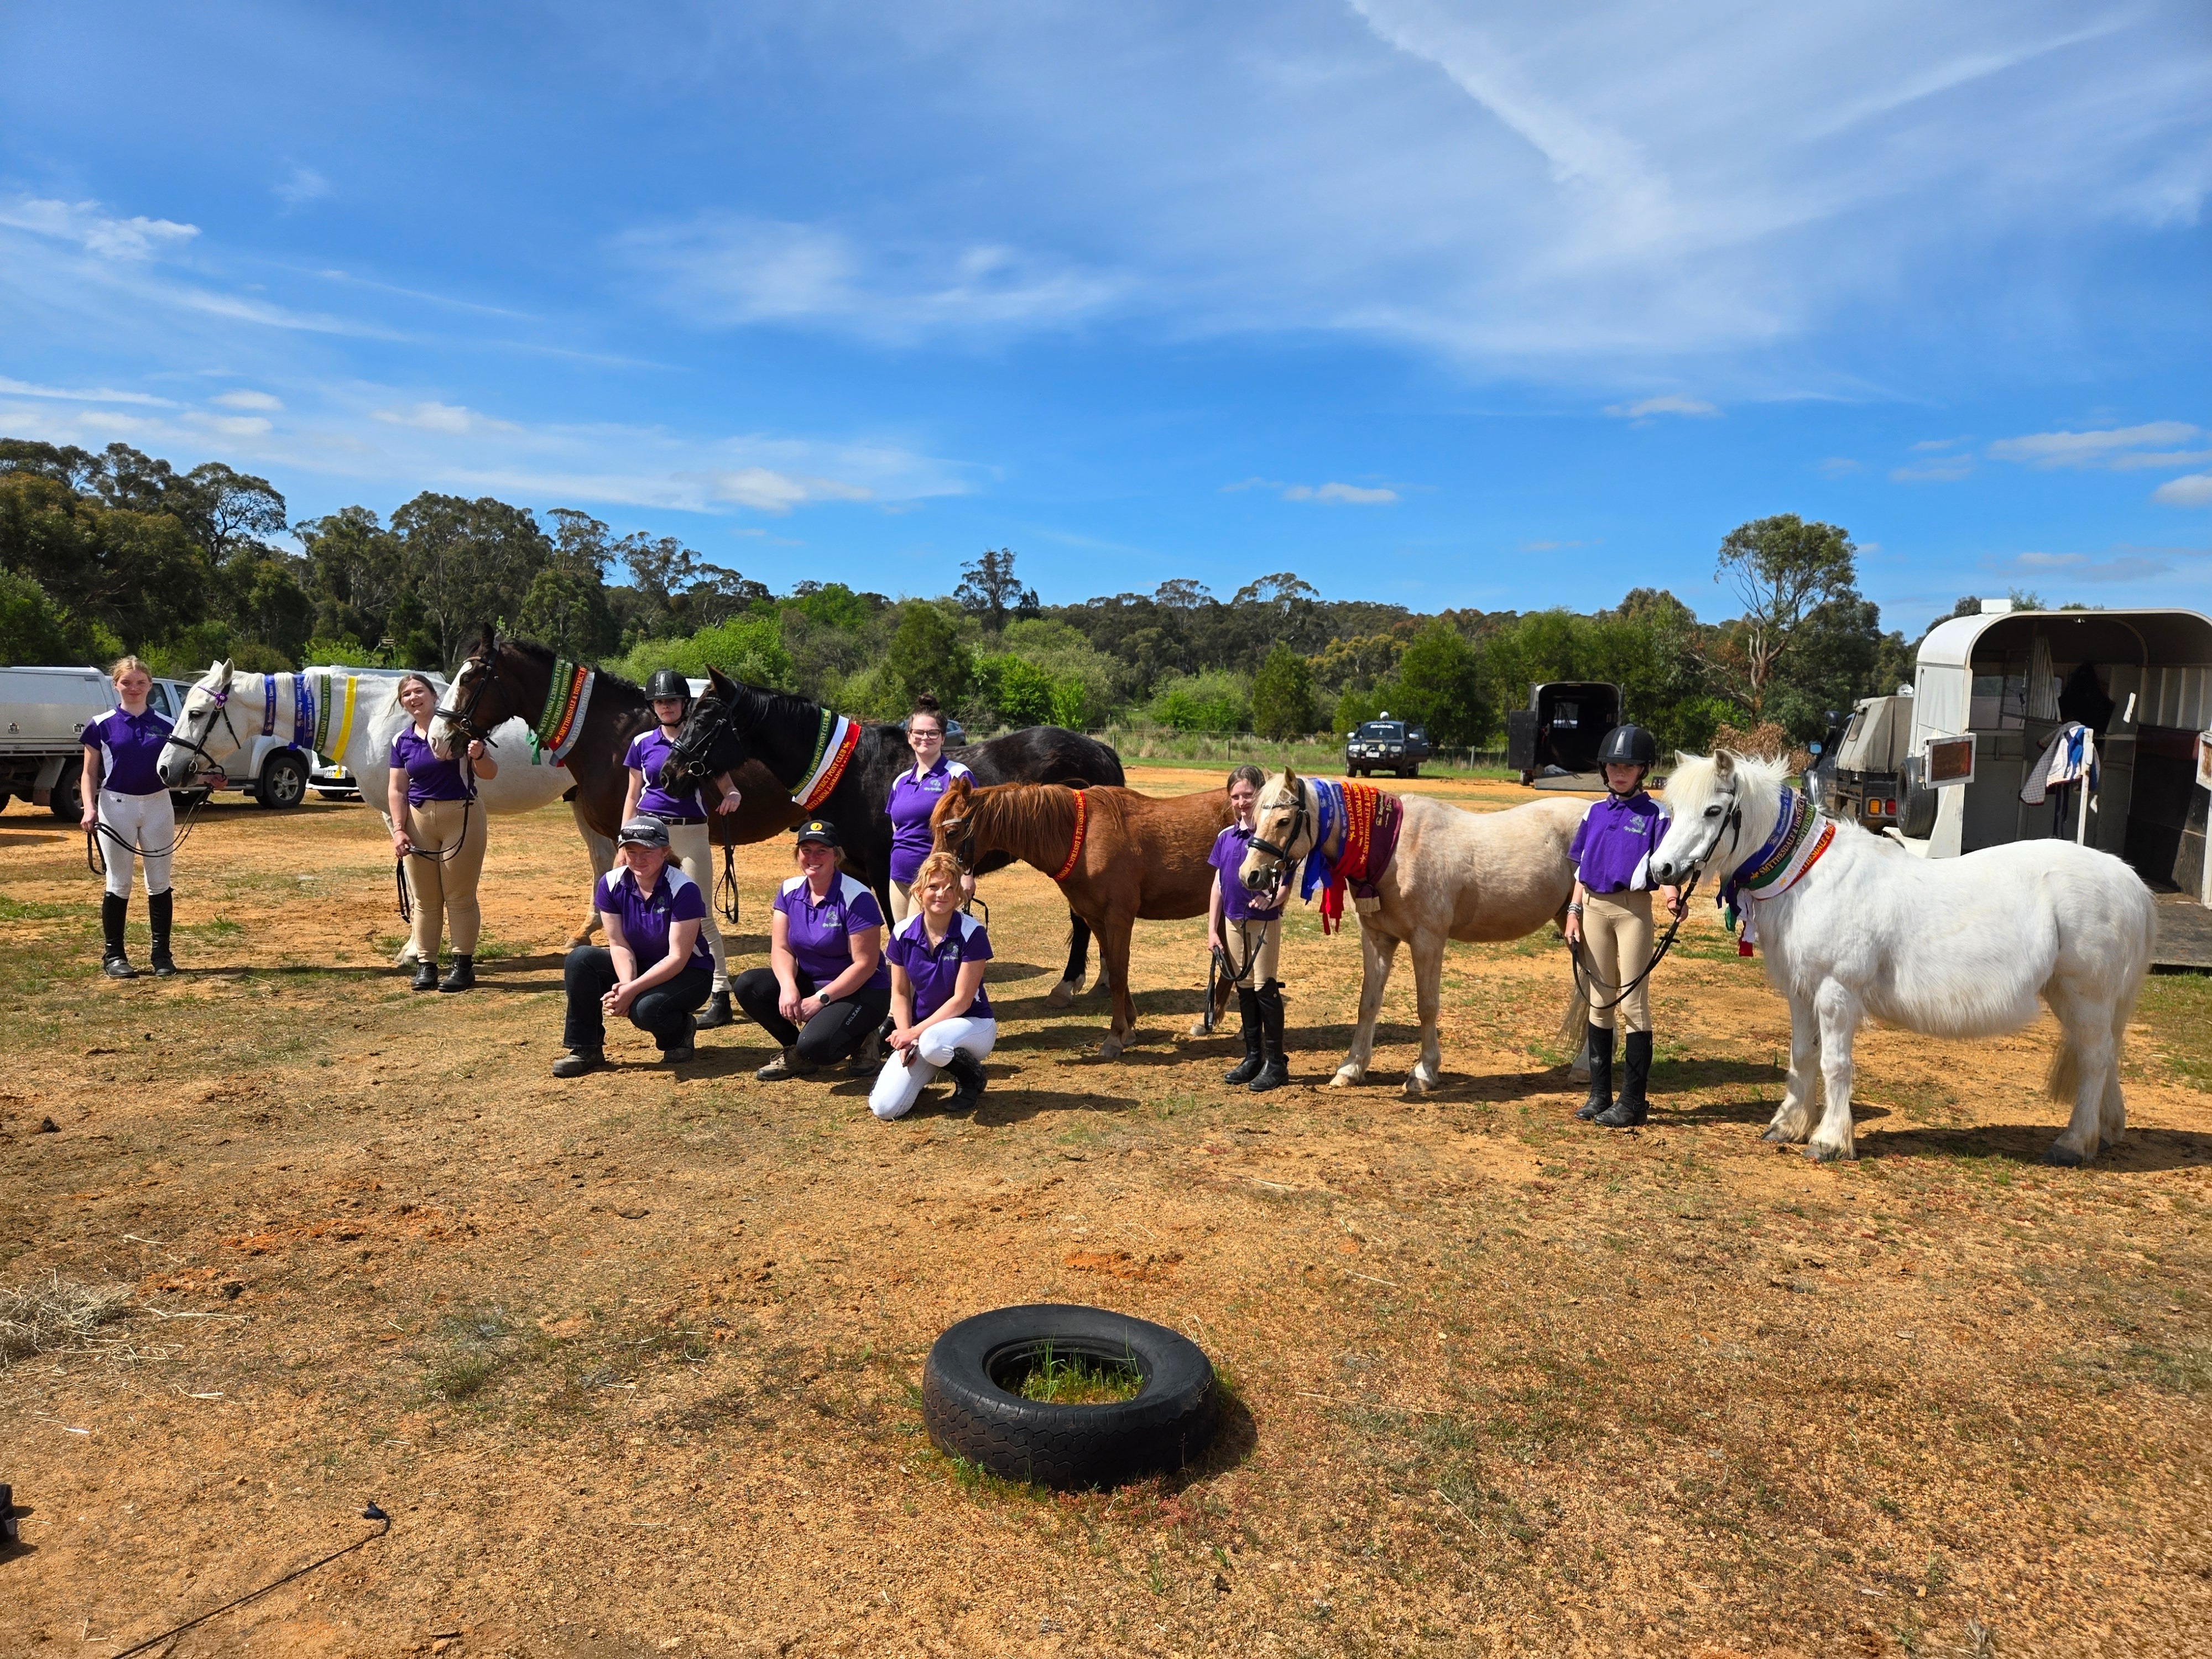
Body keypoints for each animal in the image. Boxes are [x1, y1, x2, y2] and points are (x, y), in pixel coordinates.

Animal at [155, 660, 616, 951]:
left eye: (196, 713)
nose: (165, 769)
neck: (370, 718)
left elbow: (415, 878)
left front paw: (415, 949)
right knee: (602, 860)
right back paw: (585, 931)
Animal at [660, 665, 1128, 1006]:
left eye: (707, 719)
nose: (668, 775)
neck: (853, 774)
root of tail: (1100, 751)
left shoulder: (884, 868)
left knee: (1082, 919)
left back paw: (1068, 985)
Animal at [929, 776, 1235, 1057]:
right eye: (933, 828)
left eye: (953, 831)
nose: (934, 874)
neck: (1086, 838)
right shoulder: (1096, 919)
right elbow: (1114, 969)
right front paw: (1128, 1028)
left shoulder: (1119, 917)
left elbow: (1119, 974)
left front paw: (1115, 1037)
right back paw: (1209, 1022)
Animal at [1237, 768, 1590, 1095]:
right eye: (1255, 817)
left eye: (1283, 820)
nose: (1248, 875)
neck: (1395, 850)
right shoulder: (1377, 939)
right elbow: (1368, 1003)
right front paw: (1351, 1069)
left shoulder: (1428, 940)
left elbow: (1427, 1005)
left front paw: (1424, 1073)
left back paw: (1583, 1068)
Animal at [1646, 750, 2157, 1166]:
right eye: (1673, 809)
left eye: (1714, 810)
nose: (1661, 869)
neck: (1811, 876)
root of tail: (2130, 881)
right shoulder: (1801, 991)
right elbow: (1803, 1055)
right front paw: (1788, 1127)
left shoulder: (1836, 992)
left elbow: (1835, 1063)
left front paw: (1829, 1141)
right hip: (2077, 998)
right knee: (2105, 1056)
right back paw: (2104, 1132)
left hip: (2085, 994)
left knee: (2095, 1060)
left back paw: (2073, 1144)